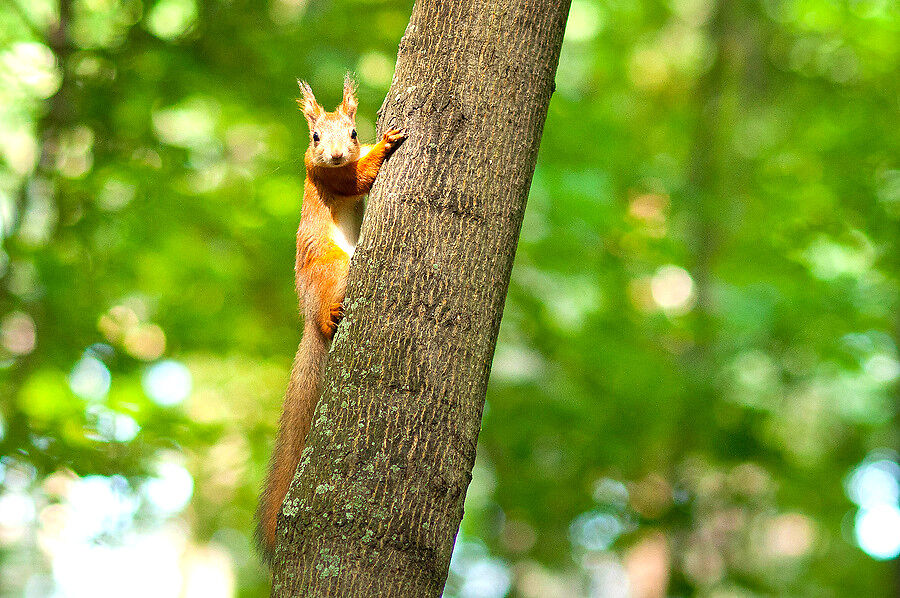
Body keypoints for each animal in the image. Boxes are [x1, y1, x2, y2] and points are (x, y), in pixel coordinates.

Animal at [256, 76, 404, 564]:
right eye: (316, 136)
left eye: (354, 132)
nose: (338, 154)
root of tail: (308, 308)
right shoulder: (328, 176)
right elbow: (357, 179)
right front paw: (388, 143)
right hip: (331, 267)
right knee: (324, 316)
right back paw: (330, 316)